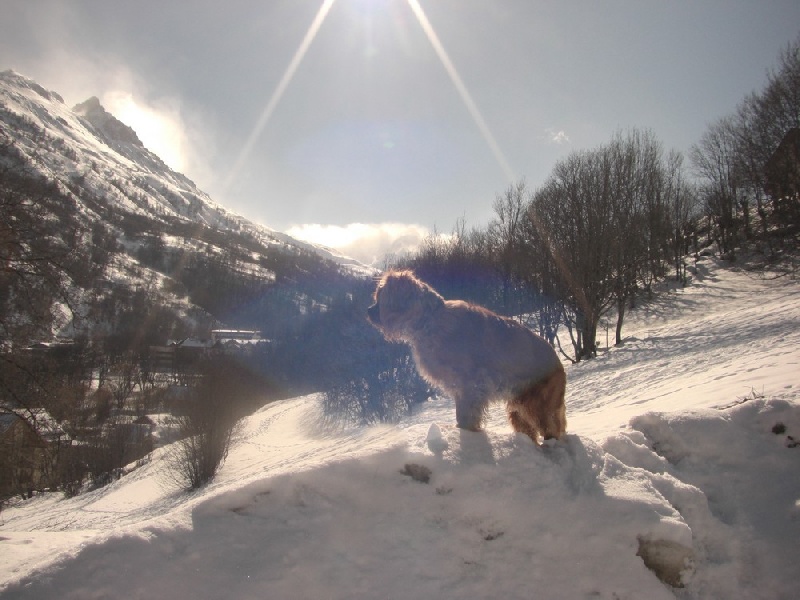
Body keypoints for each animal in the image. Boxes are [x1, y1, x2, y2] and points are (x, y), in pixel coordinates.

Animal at [366, 270, 564, 442]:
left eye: (380, 296)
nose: (368, 310)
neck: (430, 321)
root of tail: (558, 362)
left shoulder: (472, 385)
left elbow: (466, 415)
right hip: (517, 410)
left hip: (536, 405)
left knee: (551, 430)